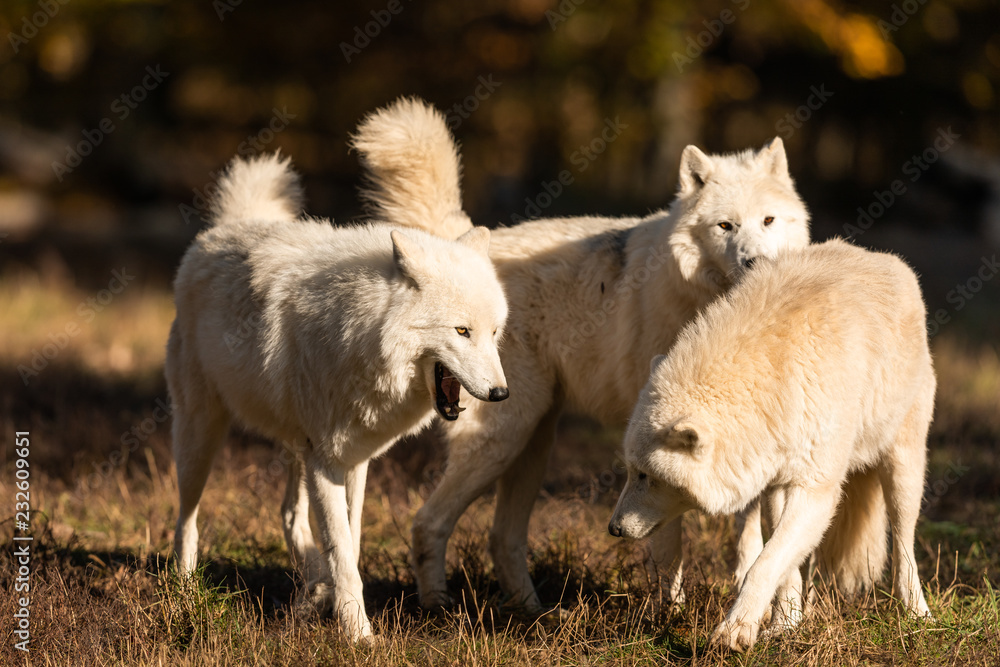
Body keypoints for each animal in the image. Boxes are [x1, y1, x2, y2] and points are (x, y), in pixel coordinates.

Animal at [166, 151, 509, 641]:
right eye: (462, 331)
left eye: (494, 332)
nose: (501, 393)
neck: (361, 336)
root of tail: (227, 226)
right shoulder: (327, 459)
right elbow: (344, 554)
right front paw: (359, 636)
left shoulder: (354, 459)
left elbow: (351, 539)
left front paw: (336, 608)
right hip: (201, 437)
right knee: (186, 520)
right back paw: (185, 590)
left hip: (296, 448)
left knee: (289, 514)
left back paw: (311, 590)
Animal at [351, 97, 812, 613]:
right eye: (725, 226)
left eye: (769, 221)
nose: (756, 262)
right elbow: (669, 542)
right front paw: (670, 614)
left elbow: (748, 538)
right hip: (501, 440)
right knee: (427, 522)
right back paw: (439, 609)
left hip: (533, 444)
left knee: (501, 537)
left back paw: (531, 612)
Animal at [609, 238, 935, 651]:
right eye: (630, 472)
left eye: (645, 476)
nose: (613, 529)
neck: (773, 376)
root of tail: (886, 259)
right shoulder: (780, 483)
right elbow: (783, 567)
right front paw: (785, 626)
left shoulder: (815, 490)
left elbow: (762, 567)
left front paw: (734, 632)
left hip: (903, 468)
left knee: (904, 542)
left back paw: (917, 614)